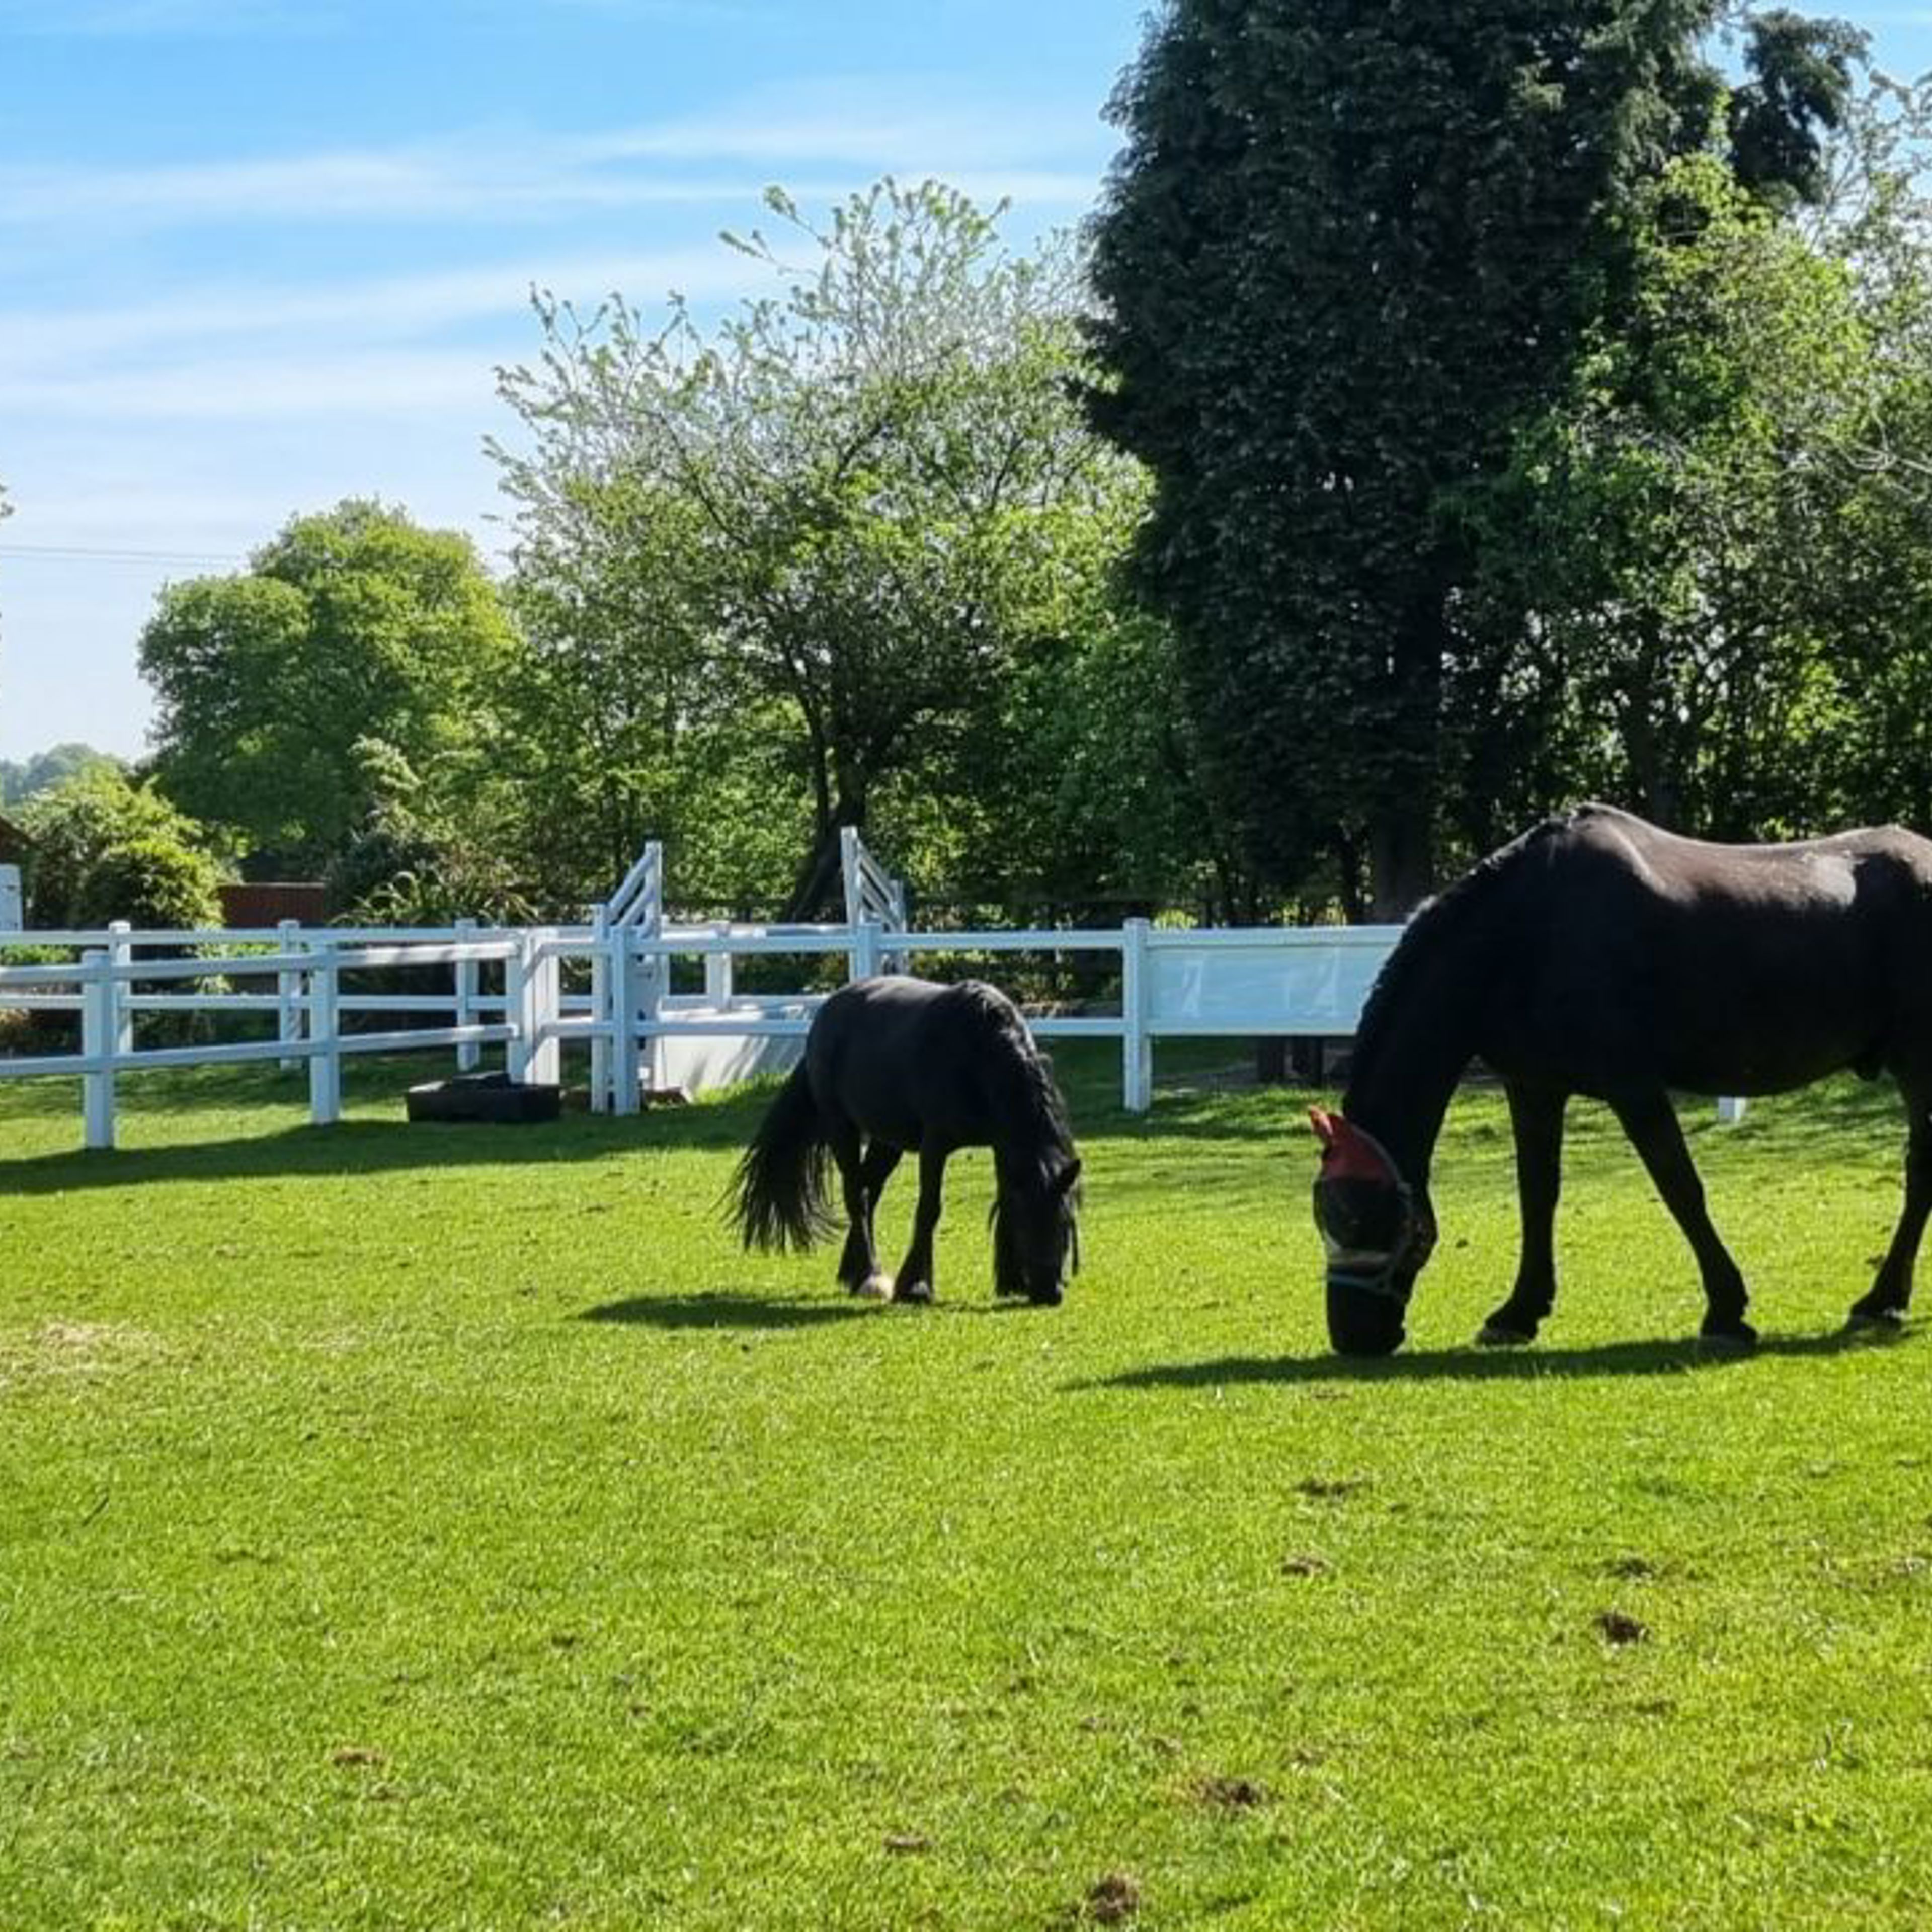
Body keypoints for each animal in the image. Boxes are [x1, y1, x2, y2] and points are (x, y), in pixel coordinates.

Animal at [731, 976, 1082, 1306]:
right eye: (1028, 1223)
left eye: (1066, 1222)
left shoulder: (1002, 1144)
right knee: (855, 1195)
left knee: (868, 1192)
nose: (1049, 1292)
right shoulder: (935, 1144)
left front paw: (1011, 1281)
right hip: (841, 1128)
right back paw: (869, 1275)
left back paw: (853, 1272)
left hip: (888, 1142)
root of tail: (827, 1013)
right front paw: (916, 1287)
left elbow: (1005, 1198)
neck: (977, 1051)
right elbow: (929, 1209)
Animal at [1309, 803, 1932, 1357]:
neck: (1522, 935)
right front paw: (1519, 1311)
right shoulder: (1533, 1088)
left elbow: (1680, 1188)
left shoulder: (1632, 1085)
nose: (1352, 1336)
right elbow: (1538, 1195)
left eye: (1364, 1219)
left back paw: (1881, 1300)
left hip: (1917, 1062)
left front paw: (1726, 1311)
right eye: (1324, 1216)